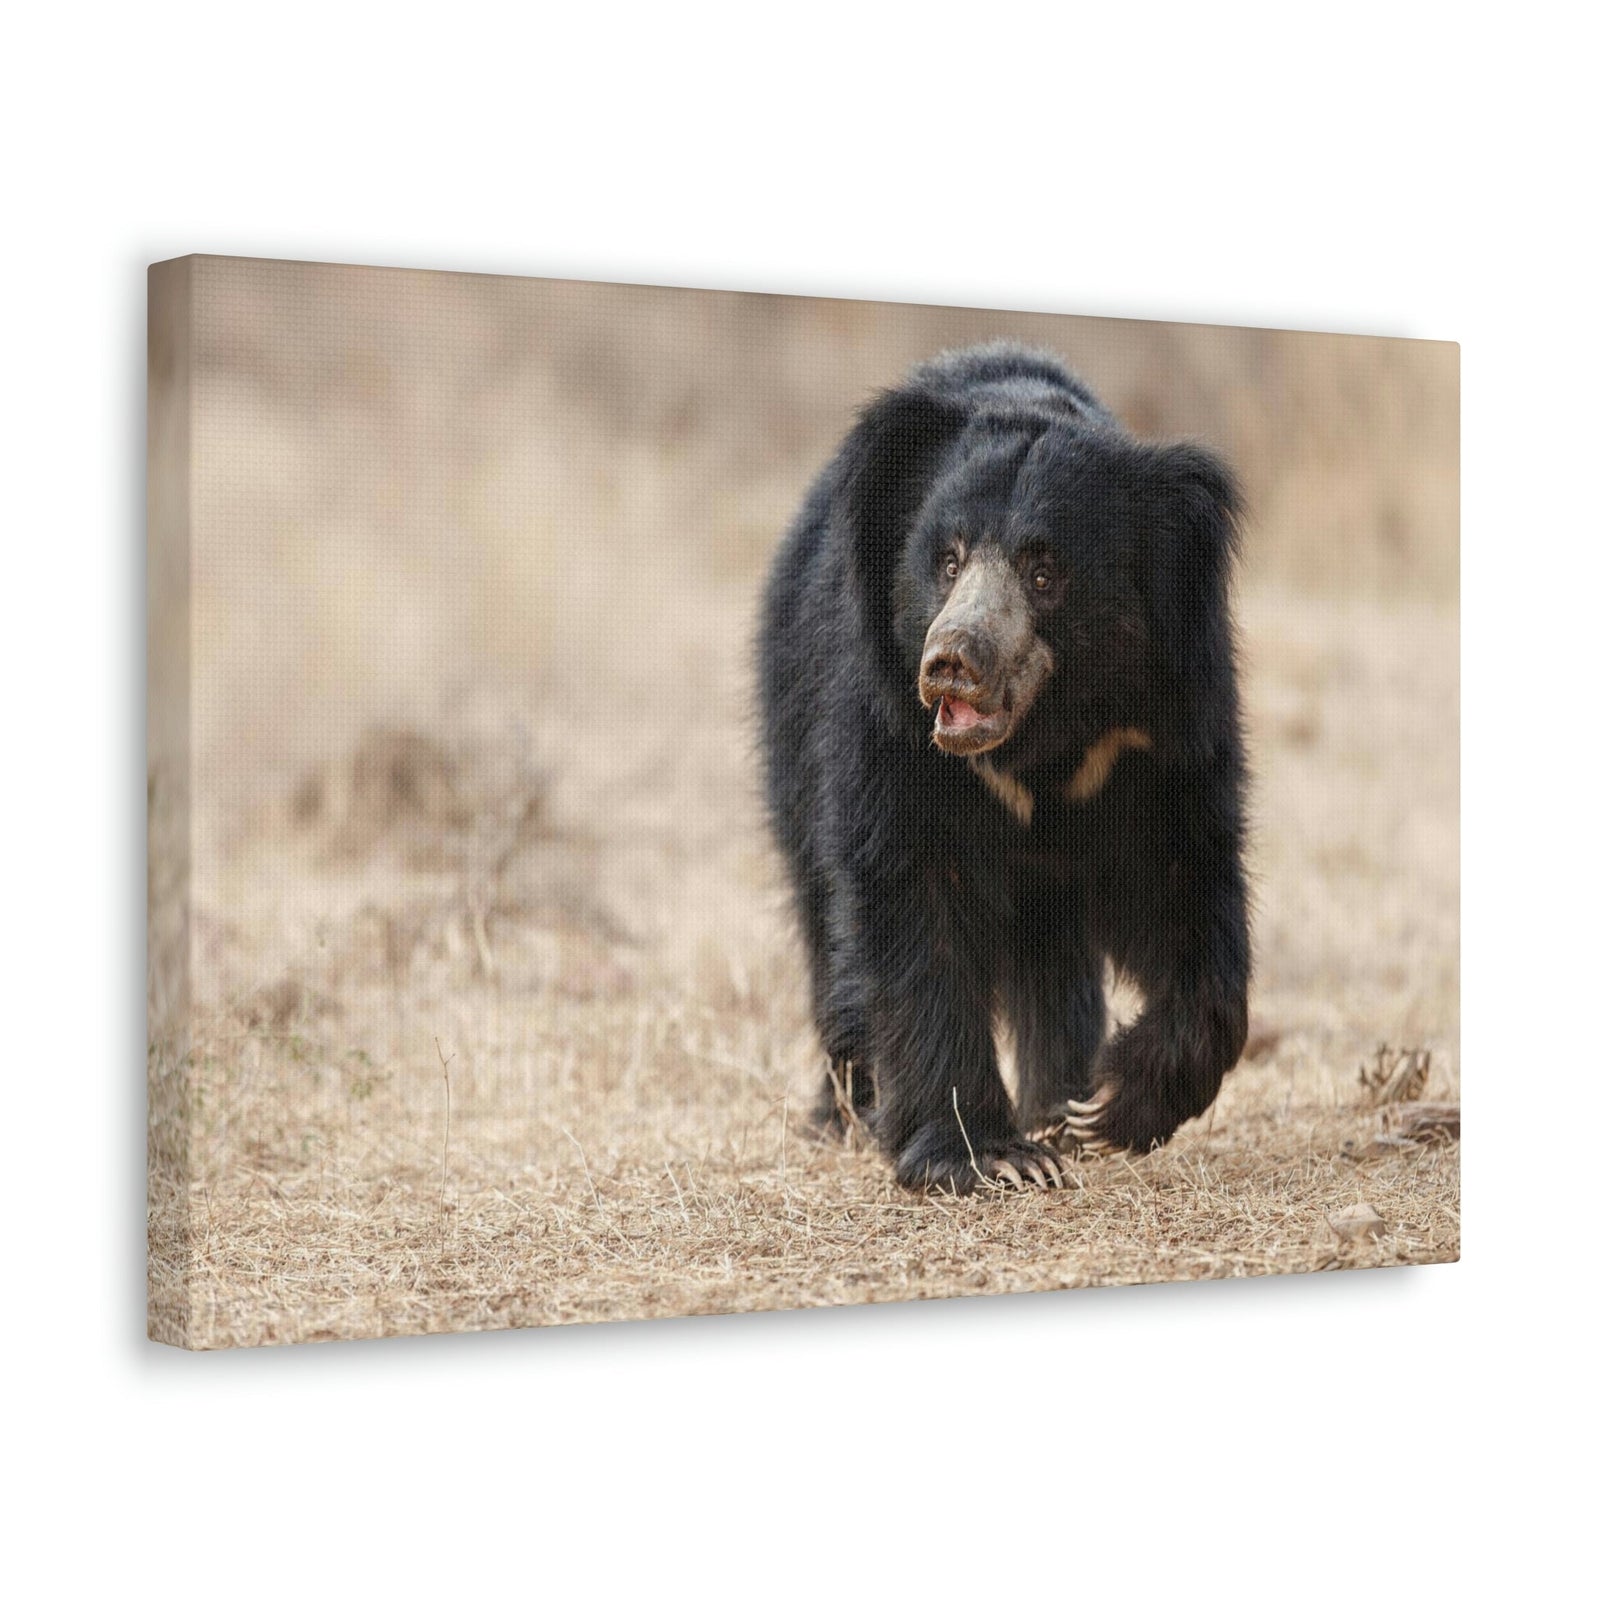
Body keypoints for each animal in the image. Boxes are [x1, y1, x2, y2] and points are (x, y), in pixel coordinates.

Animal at [756, 342, 1250, 1192]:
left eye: (1044, 572)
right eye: (947, 560)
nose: (952, 663)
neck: (1044, 740)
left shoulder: (1161, 728)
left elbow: (1187, 879)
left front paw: (1109, 1104)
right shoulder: (885, 722)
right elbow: (912, 901)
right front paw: (988, 1155)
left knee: (1056, 962)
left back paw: (1059, 1101)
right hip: (790, 730)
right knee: (825, 919)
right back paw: (848, 1112)